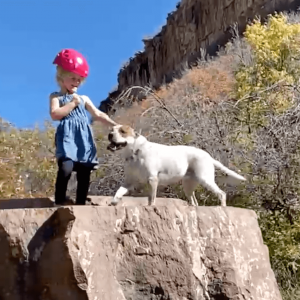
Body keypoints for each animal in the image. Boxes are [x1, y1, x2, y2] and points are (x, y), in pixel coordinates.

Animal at [107, 124, 246, 206]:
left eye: (122, 131)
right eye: (112, 129)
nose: (110, 134)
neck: (134, 153)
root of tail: (208, 156)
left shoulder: (152, 180)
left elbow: (152, 198)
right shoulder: (129, 182)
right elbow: (118, 192)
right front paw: (114, 201)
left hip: (205, 179)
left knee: (221, 194)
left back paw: (223, 208)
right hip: (188, 185)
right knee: (194, 202)